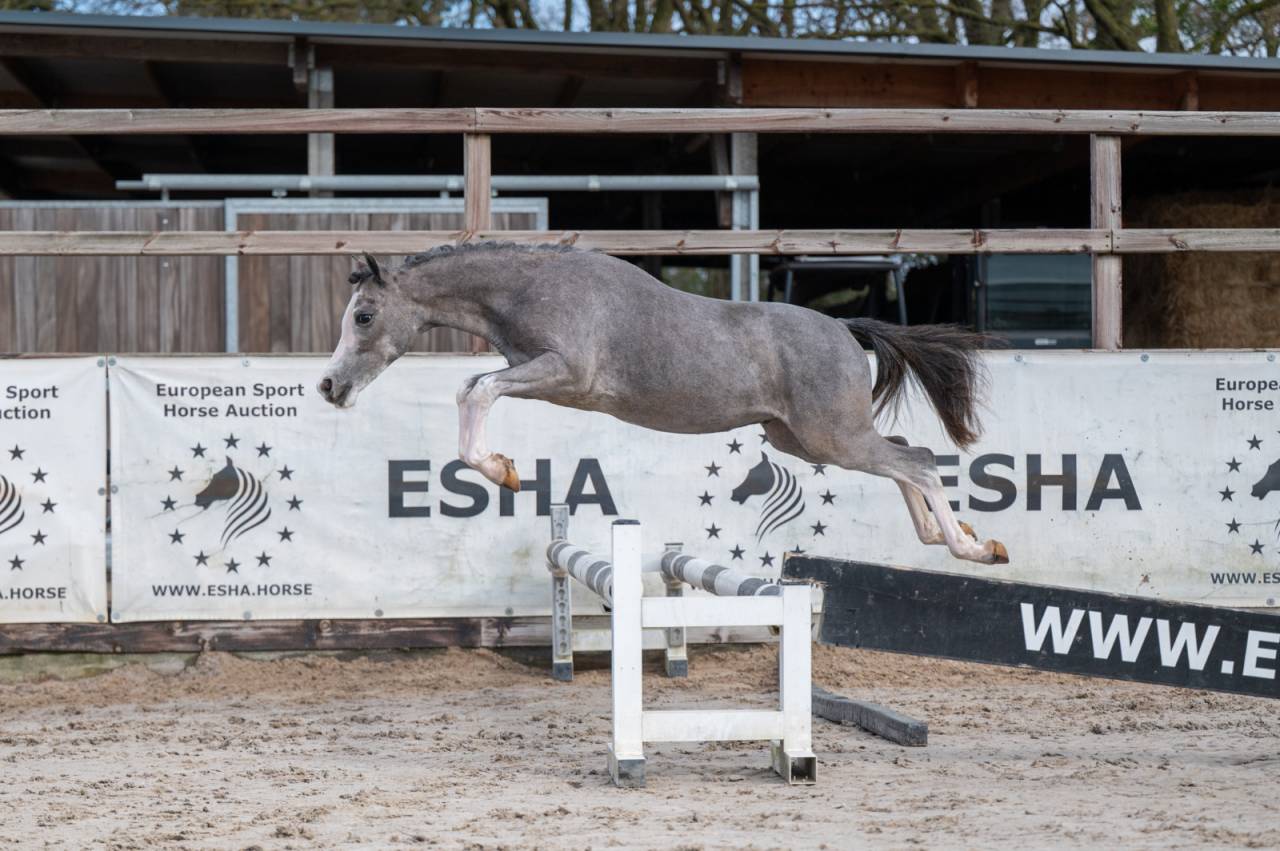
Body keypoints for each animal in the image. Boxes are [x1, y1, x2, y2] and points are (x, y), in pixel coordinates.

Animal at [317, 244, 1007, 565]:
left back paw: (973, 549)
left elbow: (477, 388)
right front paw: (502, 469)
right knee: (908, 454)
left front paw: (502, 472)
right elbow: (472, 389)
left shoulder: (562, 373)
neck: (531, 286)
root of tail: (844, 328)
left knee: (918, 462)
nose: (328, 387)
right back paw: (945, 536)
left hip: (831, 437)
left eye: (364, 316)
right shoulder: (535, 374)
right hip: (802, 439)